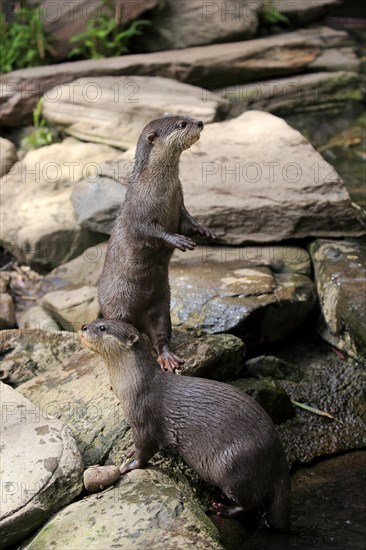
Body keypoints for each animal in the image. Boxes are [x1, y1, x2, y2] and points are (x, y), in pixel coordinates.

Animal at [80, 322, 292, 532]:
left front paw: (128, 466)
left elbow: (145, 451)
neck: (133, 386)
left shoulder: (144, 419)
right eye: (97, 320)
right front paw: (130, 450)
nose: (83, 327)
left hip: (232, 464)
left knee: (251, 503)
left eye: (103, 328)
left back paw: (222, 508)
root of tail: (279, 457)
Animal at [98, 116, 216, 376]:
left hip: (161, 305)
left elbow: (188, 222)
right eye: (182, 124)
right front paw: (178, 240)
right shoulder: (139, 212)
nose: (200, 122)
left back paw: (167, 358)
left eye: (188, 117)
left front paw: (204, 230)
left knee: (160, 333)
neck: (161, 188)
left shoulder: (180, 204)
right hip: (116, 306)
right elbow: (152, 231)